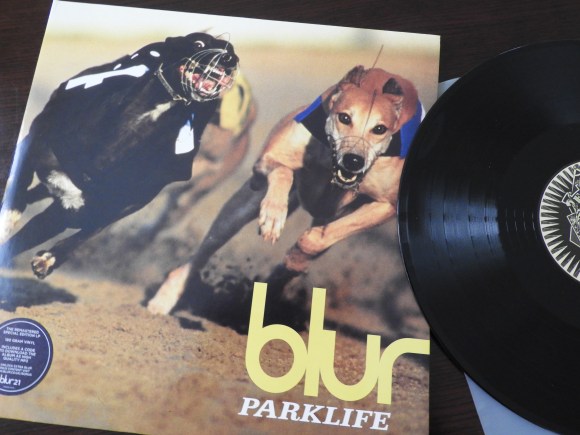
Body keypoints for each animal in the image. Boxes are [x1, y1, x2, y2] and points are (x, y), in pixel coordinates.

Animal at [0, 32, 245, 279]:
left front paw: (48, 258)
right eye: (199, 43)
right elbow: (19, 189)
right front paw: (9, 218)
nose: (230, 59)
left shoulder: (80, 210)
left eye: (231, 49)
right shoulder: (34, 142)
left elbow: (73, 232)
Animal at [147, 65, 422, 315]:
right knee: (207, 246)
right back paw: (167, 296)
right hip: (240, 207)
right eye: (345, 117)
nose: (354, 160)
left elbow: (318, 240)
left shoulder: (385, 206)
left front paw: (297, 256)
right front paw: (273, 215)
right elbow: (282, 171)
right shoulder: (265, 163)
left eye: (380, 129)